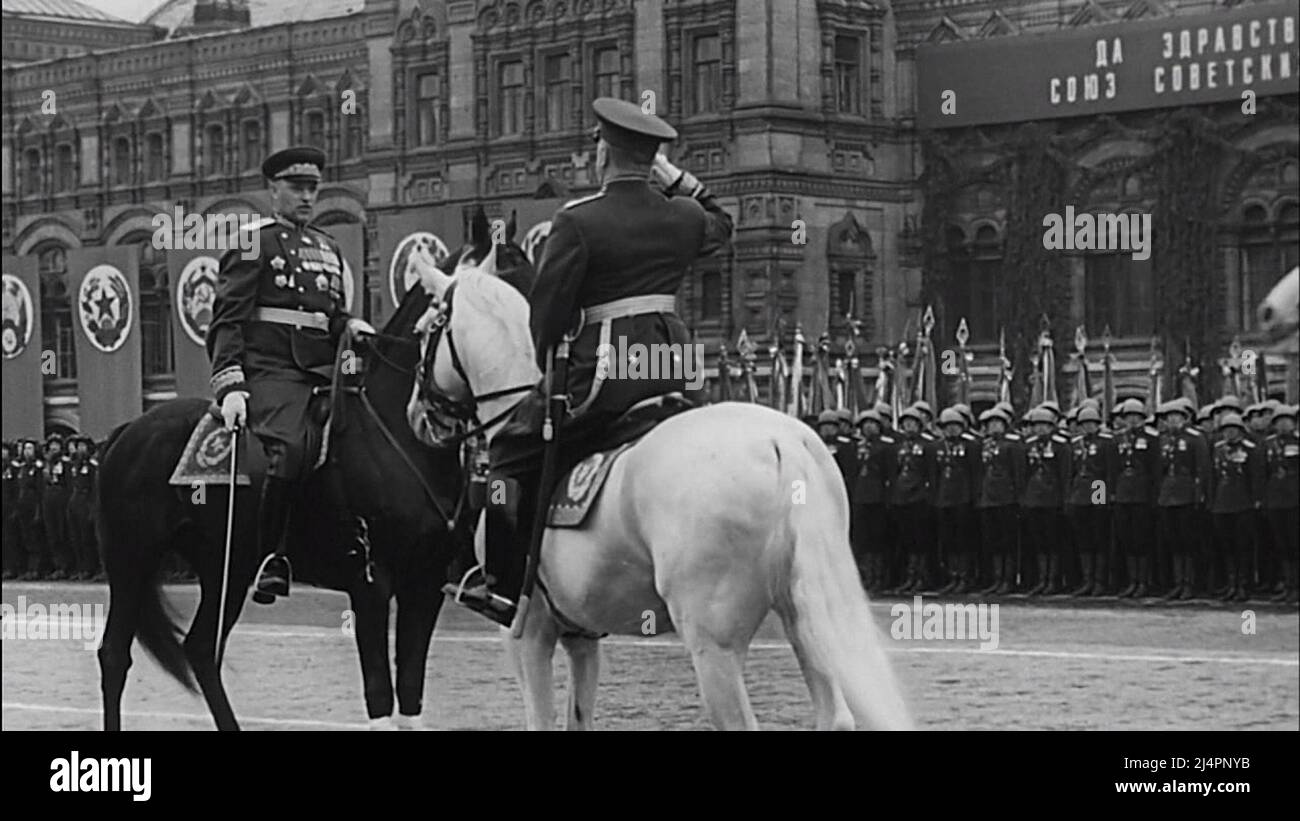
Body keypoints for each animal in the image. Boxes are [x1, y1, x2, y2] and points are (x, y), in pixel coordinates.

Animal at [94, 206, 533, 732]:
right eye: (486, 309)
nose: (529, 400)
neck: (402, 437)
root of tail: (129, 429)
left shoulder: (424, 585)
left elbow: (410, 693)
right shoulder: (371, 583)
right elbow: (380, 694)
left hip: (226, 565)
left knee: (200, 649)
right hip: (132, 558)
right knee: (115, 655)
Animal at [408, 245, 915, 732]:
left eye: (422, 330)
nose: (417, 416)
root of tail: (780, 441)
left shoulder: (526, 631)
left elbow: (541, 719)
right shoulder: (580, 634)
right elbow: (579, 717)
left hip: (713, 644)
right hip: (806, 618)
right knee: (834, 715)